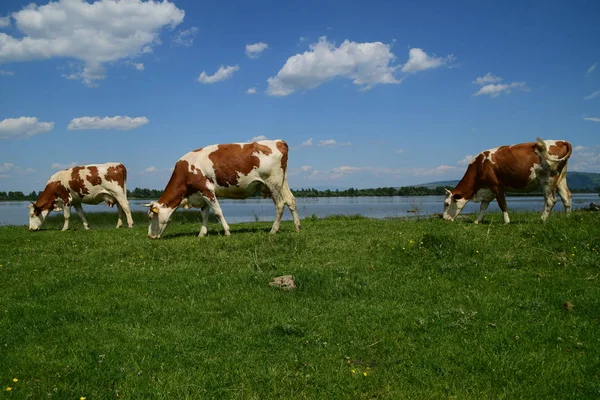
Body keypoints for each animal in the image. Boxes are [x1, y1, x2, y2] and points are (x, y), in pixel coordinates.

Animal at [144, 139, 302, 239]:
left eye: (151, 217)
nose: (150, 236)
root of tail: (278, 141)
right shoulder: (201, 194)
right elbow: (204, 214)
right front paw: (202, 234)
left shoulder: (206, 189)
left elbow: (217, 212)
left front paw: (227, 231)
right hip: (282, 182)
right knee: (291, 200)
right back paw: (297, 227)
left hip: (273, 182)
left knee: (280, 204)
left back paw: (273, 230)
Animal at [442, 138, 576, 225]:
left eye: (447, 203)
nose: (444, 218)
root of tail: (560, 141)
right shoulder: (487, 190)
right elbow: (483, 207)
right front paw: (476, 221)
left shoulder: (496, 186)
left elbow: (502, 204)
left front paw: (506, 222)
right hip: (560, 179)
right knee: (566, 196)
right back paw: (567, 218)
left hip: (548, 179)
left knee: (551, 200)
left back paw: (541, 220)